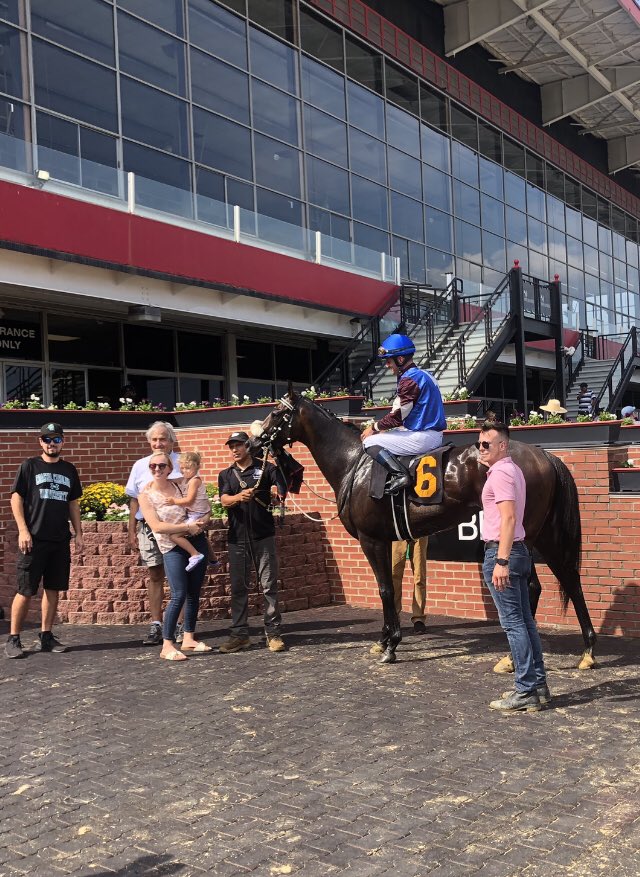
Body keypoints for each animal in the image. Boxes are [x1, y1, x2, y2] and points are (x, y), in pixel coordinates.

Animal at [258, 388, 596, 664]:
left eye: (276, 412)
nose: (257, 439)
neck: (353, 464)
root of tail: (545, 455)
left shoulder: (371, 539)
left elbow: (385, 589)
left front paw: (391, 645)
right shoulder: (385, 540)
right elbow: (390, 588)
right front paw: (384, 640)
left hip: (525, 534)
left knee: (539, 583)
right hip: (542, 532)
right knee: (567, 578)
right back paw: (586, 651)